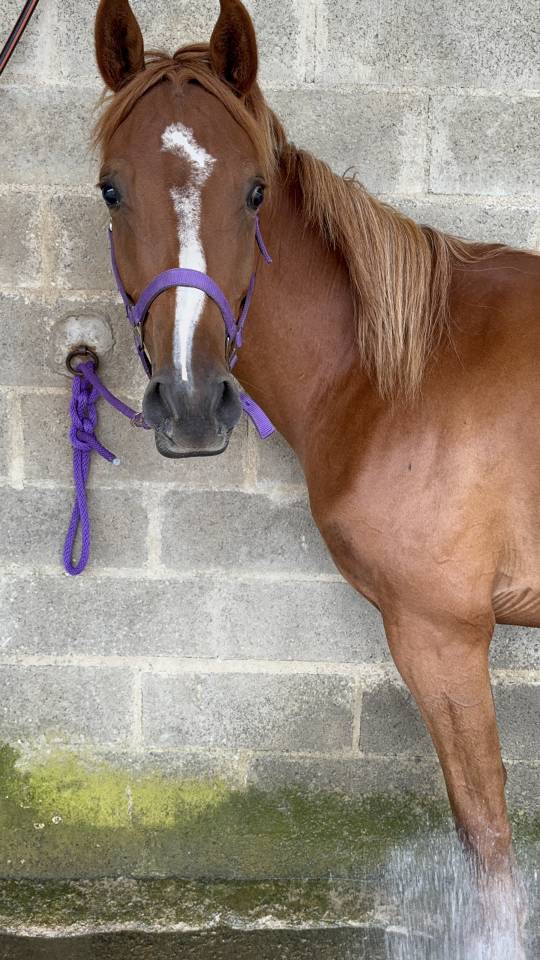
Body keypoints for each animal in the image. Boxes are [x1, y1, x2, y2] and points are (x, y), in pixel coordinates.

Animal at [93, 0, 539, 891]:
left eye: (255, 191)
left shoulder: (442, 634)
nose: (192, 405)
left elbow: (486, 832)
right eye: (111, 189)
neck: (402, 372)